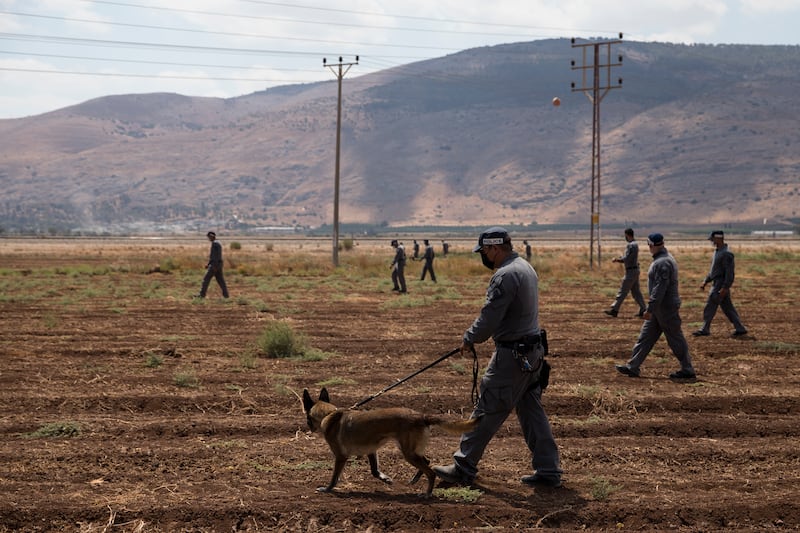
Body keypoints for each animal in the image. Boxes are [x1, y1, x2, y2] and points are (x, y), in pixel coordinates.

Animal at [302, 386, 478, 494]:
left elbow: (334, 477)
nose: (308, 427)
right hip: (412, 450)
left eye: (307, 418)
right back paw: (414, 480)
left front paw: (327, 489)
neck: (328, 415)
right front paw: (385, 479)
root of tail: (421, 416)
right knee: (427, 462)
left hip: (408, 453)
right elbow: (374, 470)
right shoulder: (371, 450)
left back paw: (427, 493)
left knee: (430, 471)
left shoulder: (340, 457)